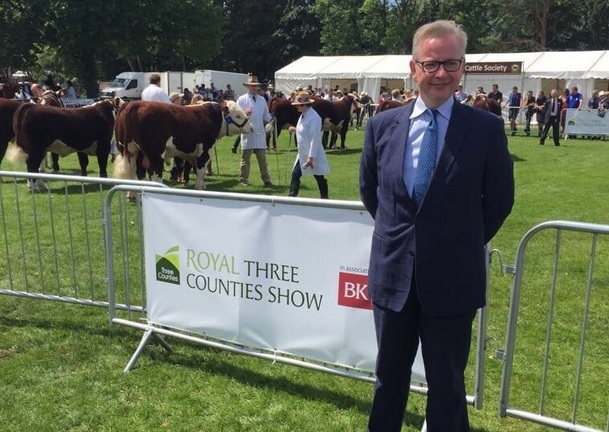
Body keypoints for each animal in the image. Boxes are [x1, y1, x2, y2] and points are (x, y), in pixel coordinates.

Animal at [114, 101, 252, 191]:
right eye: (238, 115)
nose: (251, 127)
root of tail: (133, 104)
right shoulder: (205, 149)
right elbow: (200, 169)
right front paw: (199, 187)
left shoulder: (189, 152)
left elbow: (193, 168)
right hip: (154, 154)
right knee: (154, 173)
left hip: (132, 151)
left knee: (135, 173)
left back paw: (133, 195)